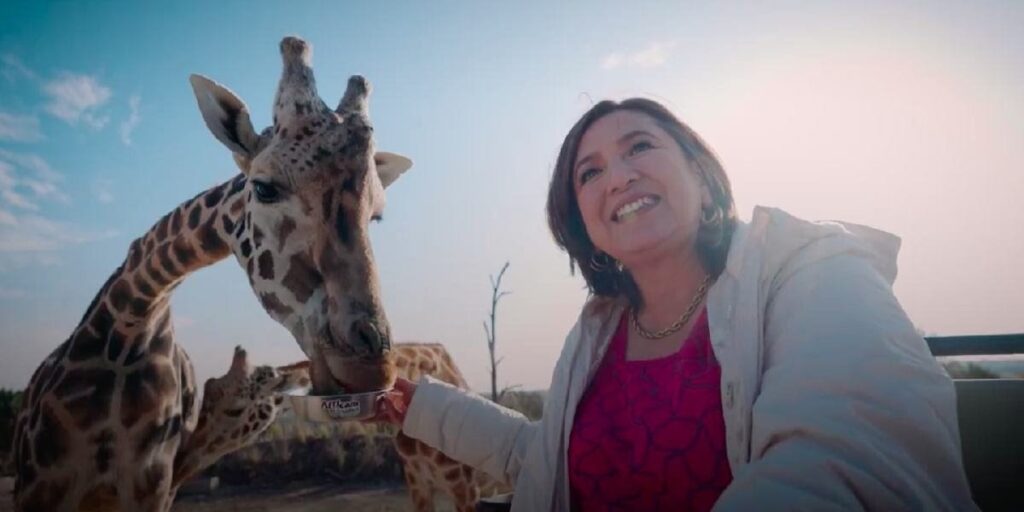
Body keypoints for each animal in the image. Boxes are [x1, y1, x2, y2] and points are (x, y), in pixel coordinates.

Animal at [12, 36, 410, 511]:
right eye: (264, 187)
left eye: (377, 215)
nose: (371, 366)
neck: (129, 327)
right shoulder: (40, 487)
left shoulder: (152, 488)